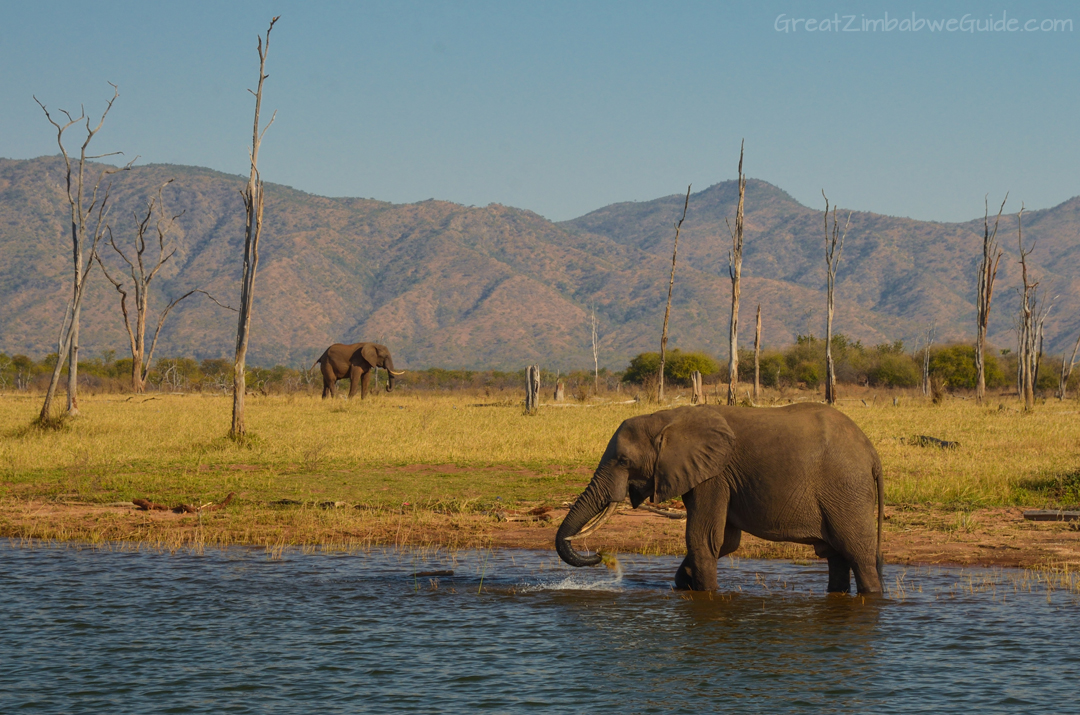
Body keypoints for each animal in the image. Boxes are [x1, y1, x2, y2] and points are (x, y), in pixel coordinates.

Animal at [557, 406, 885, 596]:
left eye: (624, 461)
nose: (601, 555)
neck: (667, 418)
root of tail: (872, 453)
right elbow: (725, 541)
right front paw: (685, 582)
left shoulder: (713, 475)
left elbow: (704, 537)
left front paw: (705, 591)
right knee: (836, 557)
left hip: (846, 490)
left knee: (858, 554)